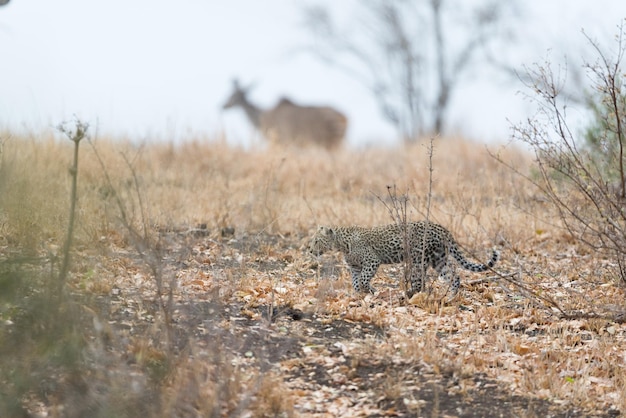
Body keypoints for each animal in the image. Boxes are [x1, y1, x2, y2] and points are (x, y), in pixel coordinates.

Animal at [308, 220, 498, 298]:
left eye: (316, 240)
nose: (309, 249)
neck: (341, 244)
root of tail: (443, 229)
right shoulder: (354, 267)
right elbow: (356, 282)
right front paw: (361, 295)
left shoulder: (371, 262)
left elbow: (363, 280)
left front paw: (371, 291)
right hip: (438, 260)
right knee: (454, 276)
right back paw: (451, 297)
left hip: (419, 260)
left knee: (419, 282)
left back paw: (411, 296)